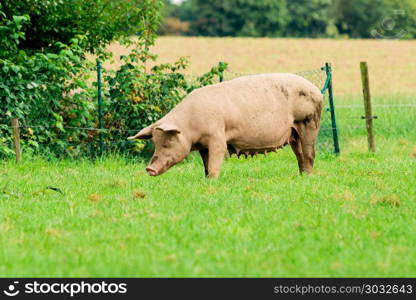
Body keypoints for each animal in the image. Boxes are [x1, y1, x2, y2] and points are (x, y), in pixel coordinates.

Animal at [128, 74, 324, 178]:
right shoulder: (203, 146)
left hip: (309, 123)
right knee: (299, 155)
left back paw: (308, 176)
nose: (149, 169)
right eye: (155, 143)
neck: (191, 126)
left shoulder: (217, 137)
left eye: (167, 142)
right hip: (294, 133)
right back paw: (302, 175)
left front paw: (213, 180)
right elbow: (206, 164)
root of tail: (317, 90)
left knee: (309, 154)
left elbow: (216, 158)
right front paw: (206, 179)